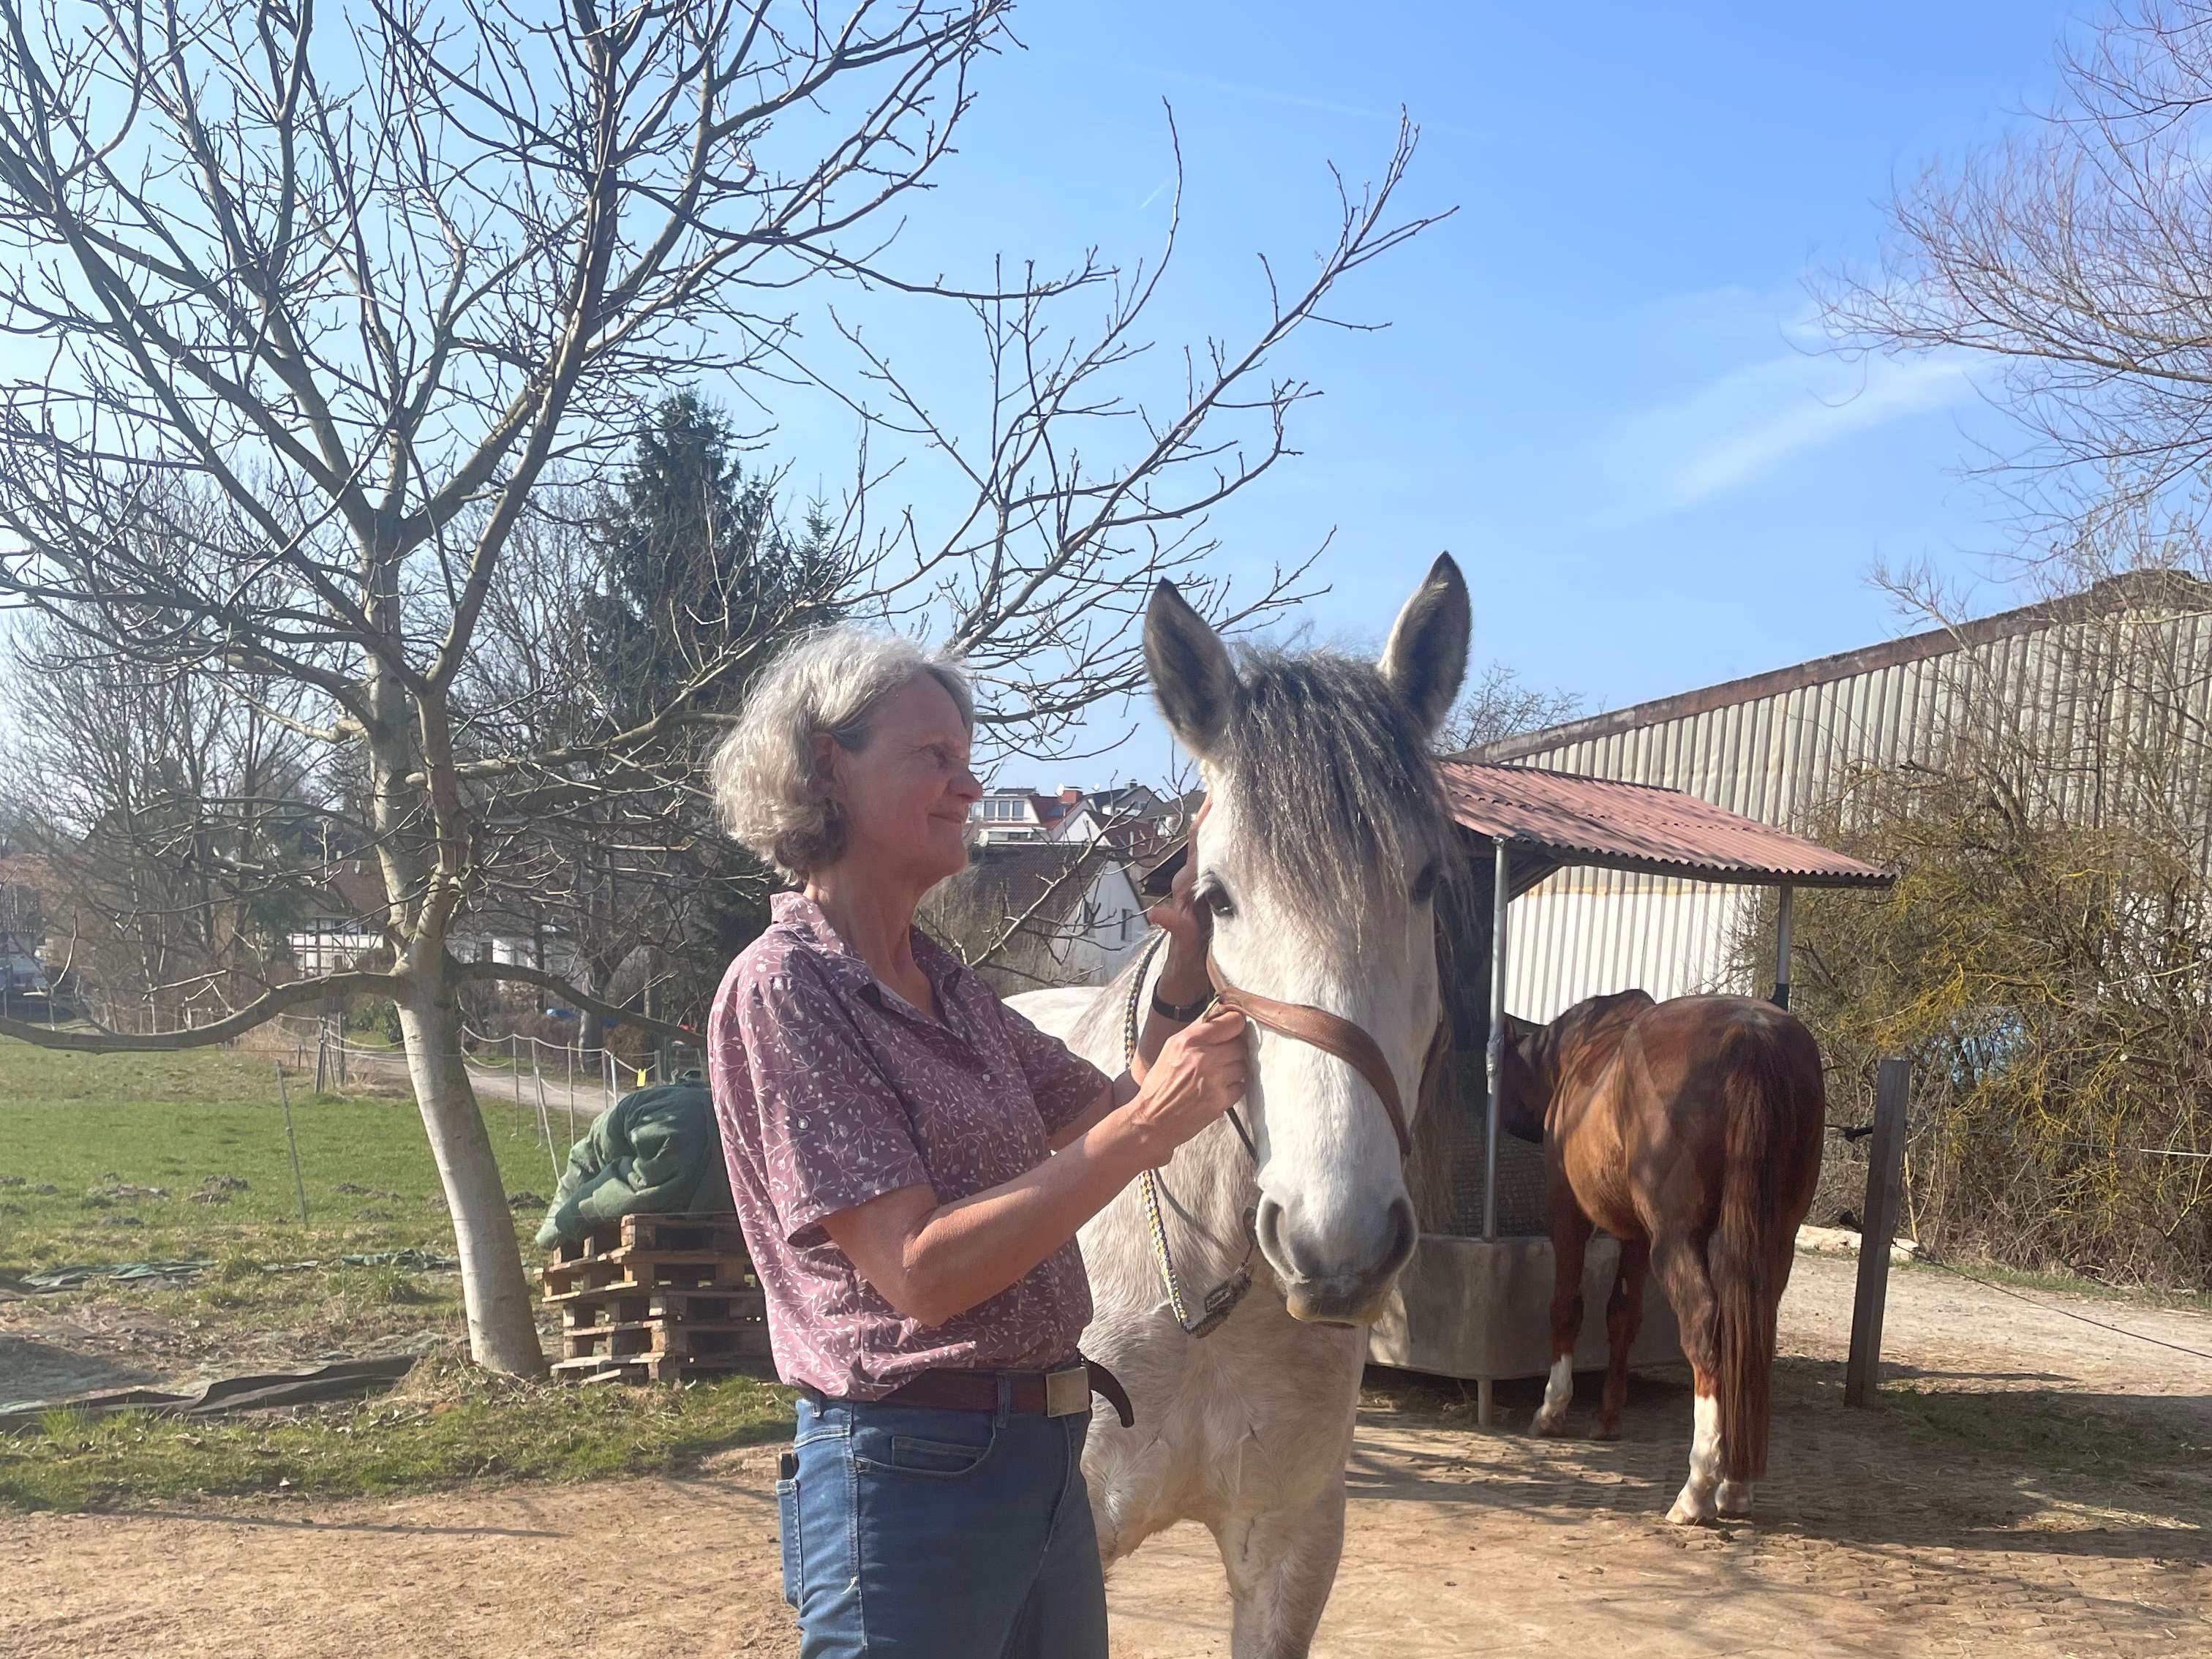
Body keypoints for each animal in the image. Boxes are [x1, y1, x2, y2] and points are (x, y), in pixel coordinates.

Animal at [1497, 989, 1826, 1524]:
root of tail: (1750, 1035)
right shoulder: (1636, 1236)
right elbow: (1621, 1316)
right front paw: (1608, 1416)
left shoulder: (1567, 1212)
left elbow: (1567, 1307)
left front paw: (1552, 1410)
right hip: (1772, 1240)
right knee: (1749, 1337)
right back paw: (1735, 1487)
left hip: (1676, 1238)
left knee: (1706, 1332)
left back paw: (1698, 1488)